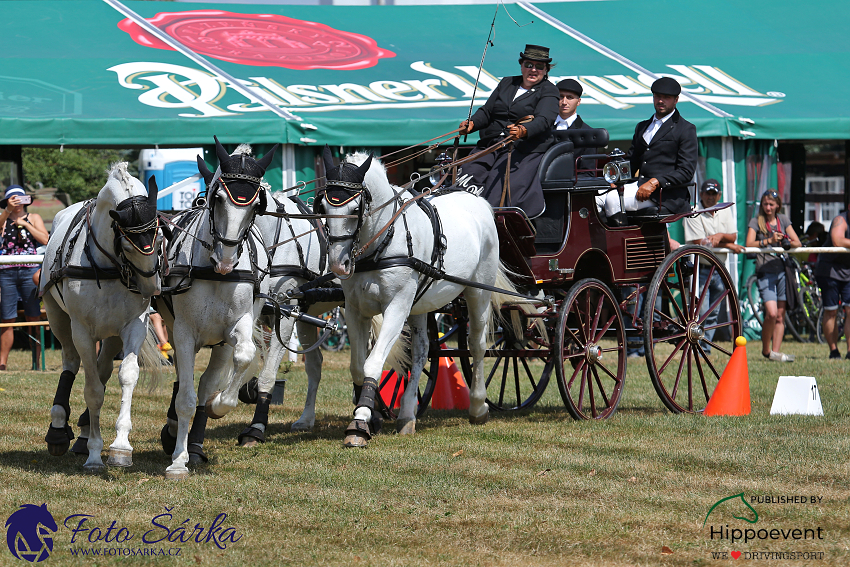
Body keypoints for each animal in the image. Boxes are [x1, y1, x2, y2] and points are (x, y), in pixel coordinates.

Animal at [40, 162, 163, 472]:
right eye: (128, 245)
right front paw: (95, 454)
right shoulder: (82, 332)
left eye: (159, 235)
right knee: (71, 365)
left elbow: (126, 377)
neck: (108, 264)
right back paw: (58, 428)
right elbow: (93, 390)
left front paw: (120, 446)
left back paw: (83, 433)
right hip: (58, 319)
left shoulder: (132, 327)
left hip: (111, 335)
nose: (151, 288)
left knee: (104, 368)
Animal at [158, 139, 274, 480]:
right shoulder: (184, 333)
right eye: (217, 198)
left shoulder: (237, 326)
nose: (226, 258)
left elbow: (244, 357)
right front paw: (178, 461)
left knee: (209, 380)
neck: (215, 274)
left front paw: (218, 406)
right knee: (185, 382)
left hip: (221, 342)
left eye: (256, 204)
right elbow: (184, 397)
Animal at [316, 146, 506, 448]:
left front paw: (360, 423)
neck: (382, 242)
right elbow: (358, 367)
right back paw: (407, 414)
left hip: (478, 292)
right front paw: (372, 415)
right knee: (421, 352)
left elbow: (373, 363)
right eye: (322, 207)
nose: (338, 264)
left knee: (476, 346)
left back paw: (478, 407)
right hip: (420, 306)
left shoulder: (397, 306)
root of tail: (477, 200)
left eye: (356, 209)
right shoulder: (356, 310)